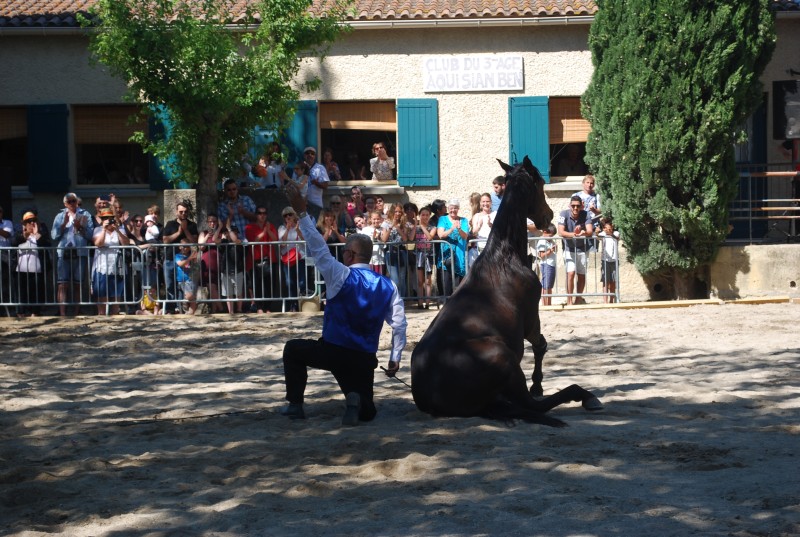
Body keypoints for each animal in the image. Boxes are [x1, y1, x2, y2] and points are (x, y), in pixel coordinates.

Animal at [412, 156, 600, 428]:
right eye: (540, 183)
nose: (549, 216)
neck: (504, 256)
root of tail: (429, 397)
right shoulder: (531, 319)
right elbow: (540, 345)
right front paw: (538, 384)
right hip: (504, 357)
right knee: (534, 405)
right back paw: (584, 396)